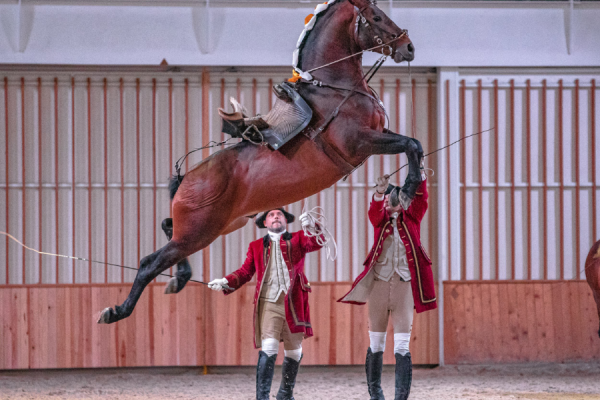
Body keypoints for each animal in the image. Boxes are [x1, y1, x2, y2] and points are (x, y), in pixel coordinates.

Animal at [98, 0, 420, 324]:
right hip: (199, 232)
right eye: (376, 17)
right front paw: (408, 190)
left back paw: (178, 278)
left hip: (220, 225)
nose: (408, 47)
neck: (334, 88)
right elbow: (411, 144)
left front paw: (400, 191)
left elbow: (412, 144)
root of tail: (186, 177)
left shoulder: (378, 136)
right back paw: (117, 311)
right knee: (149, 263)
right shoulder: (361, 143)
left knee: (167, 228)